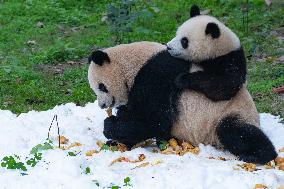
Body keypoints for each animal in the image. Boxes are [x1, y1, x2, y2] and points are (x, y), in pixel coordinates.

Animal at [89, 46, 278, 163]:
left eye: (101, 86)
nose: (102, 105)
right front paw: (116, 140)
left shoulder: (159, 75)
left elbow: (153, 120)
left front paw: (110, 127)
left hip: (229, 113)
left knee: (234, 131)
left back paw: (259, 155)